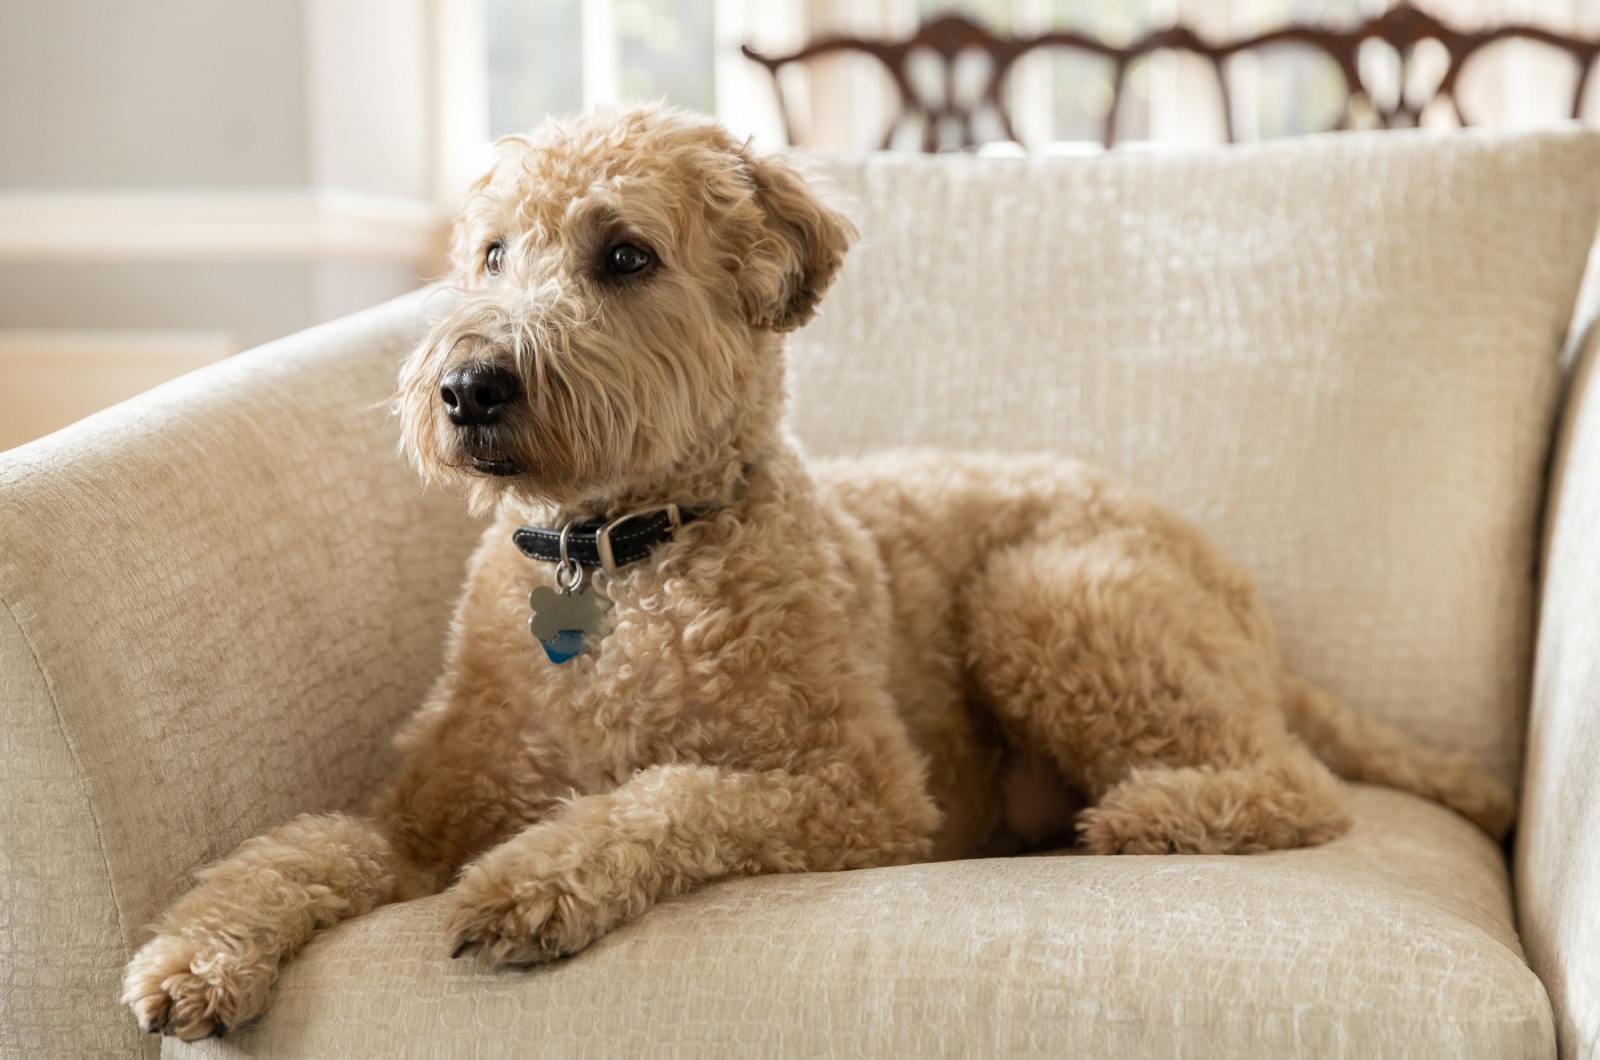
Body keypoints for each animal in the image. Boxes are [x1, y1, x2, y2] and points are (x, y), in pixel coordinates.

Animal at [124, 109, 1510, 1043]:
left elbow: (668, 796)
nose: (466, 387)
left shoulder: (857, 791)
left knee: (1292, 782)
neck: (622, 561)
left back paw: (1148, 815)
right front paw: (196, 954)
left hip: (1047, 597)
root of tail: (1243, 597)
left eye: (623, 256)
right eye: (492, 254)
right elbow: (291, 847)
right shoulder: (416, 816)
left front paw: (530, 881)